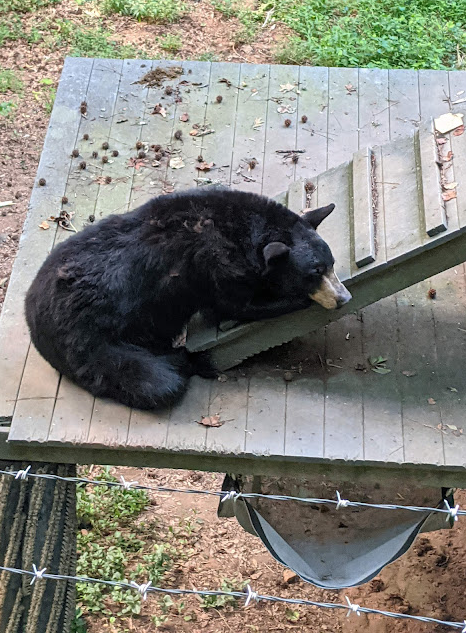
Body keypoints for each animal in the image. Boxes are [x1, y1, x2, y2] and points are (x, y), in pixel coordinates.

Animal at [25, 186, 350, 410]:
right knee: (153, 381)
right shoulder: (215, 267)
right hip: (86, 340)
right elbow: (236, 305)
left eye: (331, 264)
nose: (343, 297)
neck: (240, 231)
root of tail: (32, 318)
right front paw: (297, 299)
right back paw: (186, 361)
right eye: (314, 272)